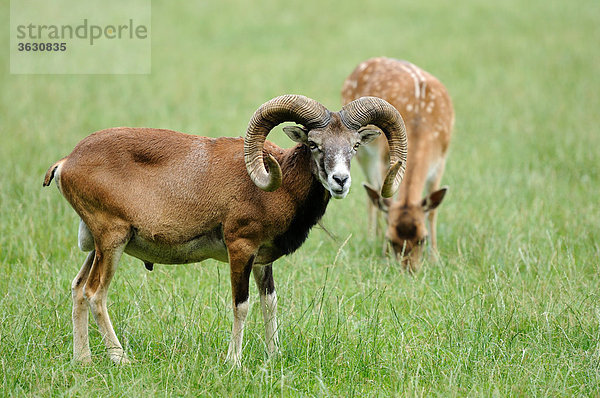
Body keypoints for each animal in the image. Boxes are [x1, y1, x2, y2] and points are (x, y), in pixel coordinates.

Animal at [342, 57, 454, 270]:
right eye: (392, 239)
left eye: (422, 239)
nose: (409, 270)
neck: (420, 125)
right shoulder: (383, 158)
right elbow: (384, 201)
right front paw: (384, 254)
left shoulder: (441, 161)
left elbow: (432, 211)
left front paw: (435, 258)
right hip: (363, 155)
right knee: (371, 195)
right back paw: (371, 237)